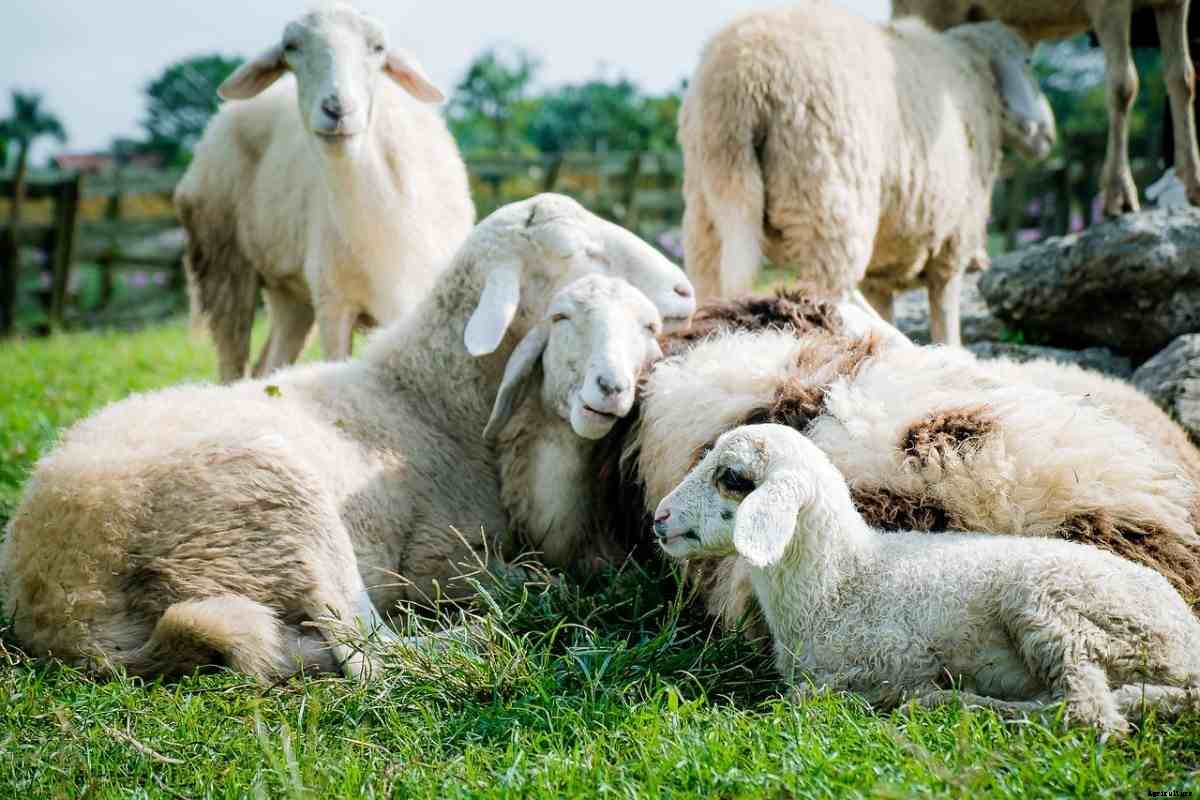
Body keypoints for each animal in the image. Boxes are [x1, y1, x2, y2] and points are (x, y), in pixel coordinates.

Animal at [0, 194, 696, 681]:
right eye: (582, 254)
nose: (687, 289)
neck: (426, 394)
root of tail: (63, 607)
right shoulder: (437, 558)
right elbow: (536, 580)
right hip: (280, 508)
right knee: (369, 654)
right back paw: (479, 640)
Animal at [176, 3, 475, 383]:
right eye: (291, 47)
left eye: (378, 47)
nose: (337, 108)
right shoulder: (334, 305)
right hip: (224, 262)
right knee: (233, 363)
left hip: (290, 291)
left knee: (268, 365)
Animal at [653, 423, 1200, 734]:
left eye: (732, 478)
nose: (659, 518)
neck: (842, 581)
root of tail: (1186, 640)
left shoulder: (889, 659)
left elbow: (818, 696)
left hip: (1056, 606)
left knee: (1088, 713)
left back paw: (958, 703)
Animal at [677, 3, 1056, 345]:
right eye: (1028, 63)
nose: (1048, 135)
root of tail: (740, 80)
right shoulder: (952, 242)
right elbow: (946, 320)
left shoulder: (882, 269)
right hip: (826, 198)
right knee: (826, 292)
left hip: (710, 204)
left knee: (713, 282)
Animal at [892, 0, 1200, 216]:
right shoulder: (1108, 4)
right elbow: (1124, 84)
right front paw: (1119, 196)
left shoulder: (1173, 2)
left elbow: (1182, 77)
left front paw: (1193, 186)